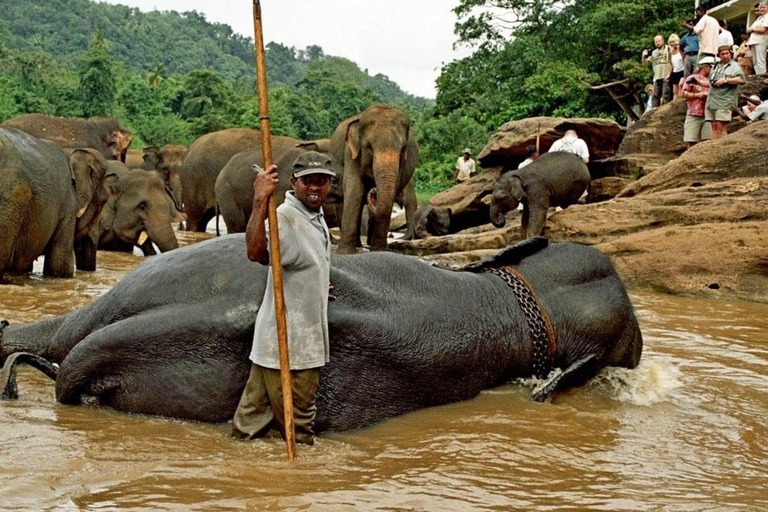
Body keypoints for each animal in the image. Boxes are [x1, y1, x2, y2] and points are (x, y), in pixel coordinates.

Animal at [328, 105, 416, 253]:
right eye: (369, 147)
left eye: (403, 148)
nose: (373, 191)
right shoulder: (351, 153)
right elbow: (355, 190)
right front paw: (346, 253)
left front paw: (379, 250)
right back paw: (357, 244)